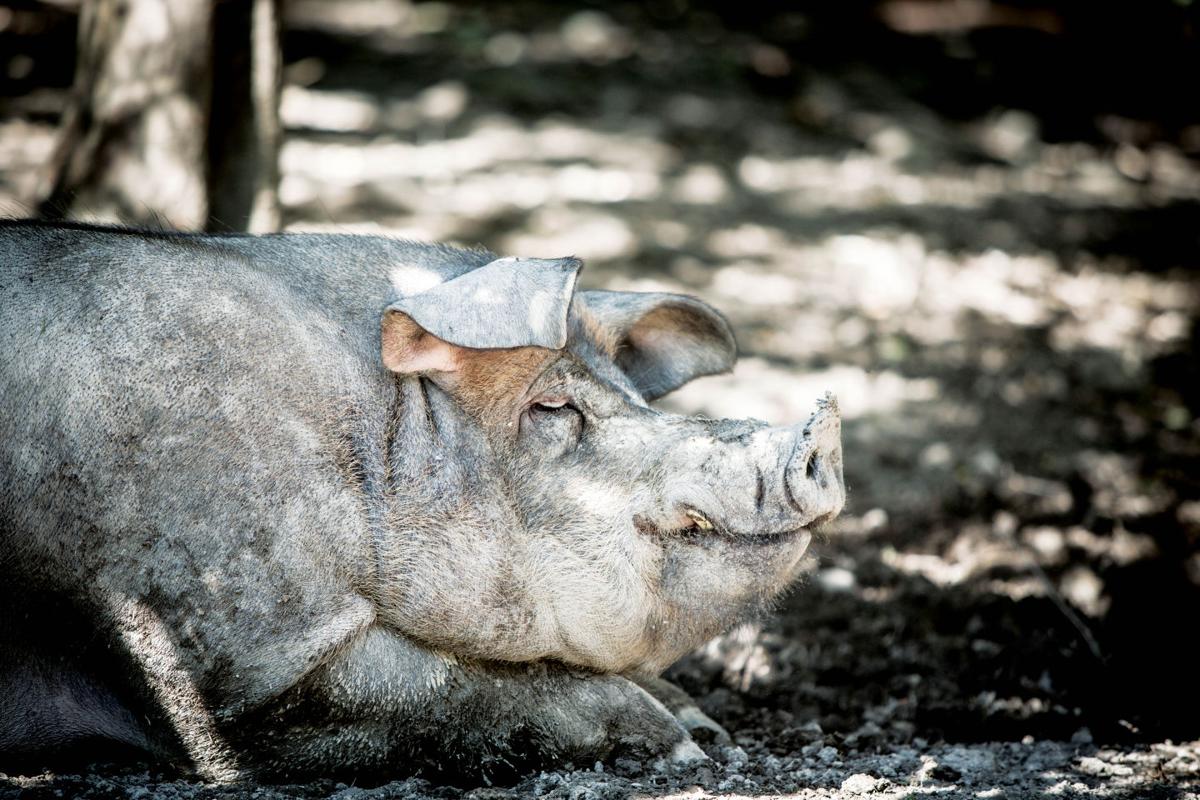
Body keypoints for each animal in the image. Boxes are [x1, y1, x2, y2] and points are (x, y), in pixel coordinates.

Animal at [0, 220, 845, 780]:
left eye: (636, 398)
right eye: (552, 407)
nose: (821, 432)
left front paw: (710, 726)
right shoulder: (222, 637)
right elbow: (444, 687)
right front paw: (684, 742)